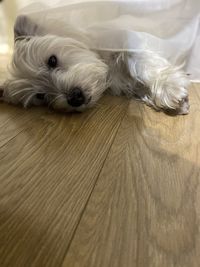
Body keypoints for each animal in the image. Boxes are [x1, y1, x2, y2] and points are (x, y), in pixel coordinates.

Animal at [0, 15, 190, 114]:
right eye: (40, 96)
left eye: (52, 60)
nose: (75, 98)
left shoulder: (126, 42)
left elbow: (141, 60)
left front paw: (169, 87)